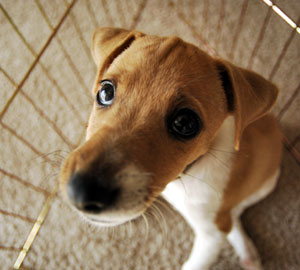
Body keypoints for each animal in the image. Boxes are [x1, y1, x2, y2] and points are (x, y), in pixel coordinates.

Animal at [59, 28, 282, 270]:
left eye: (184, 123)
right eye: (106, 91)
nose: (81, 192)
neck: (184, 176)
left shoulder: (211, 236)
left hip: (264, 186)